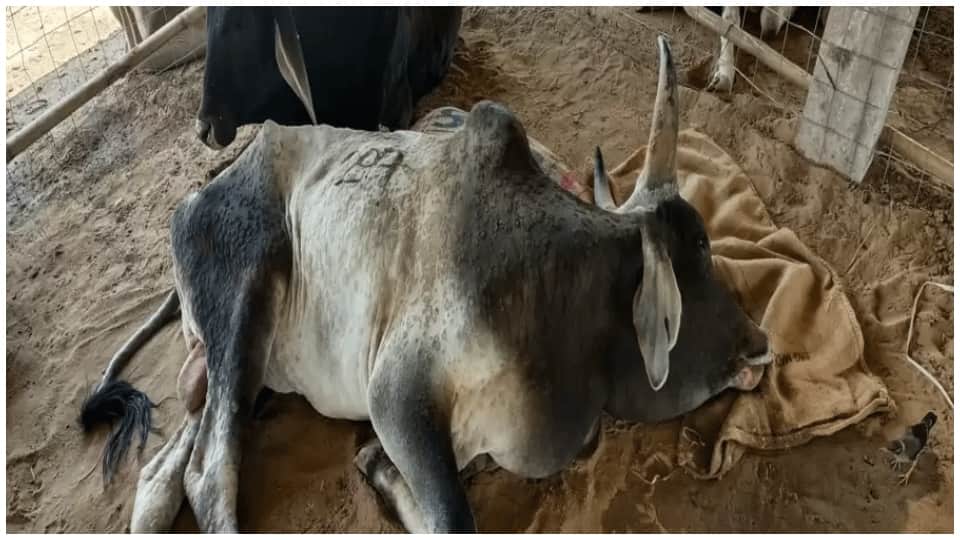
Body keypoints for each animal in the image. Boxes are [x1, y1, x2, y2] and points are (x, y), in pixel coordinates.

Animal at [80, 36, 771, 532]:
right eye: (696, 256)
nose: (760, 344)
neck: (563, 298)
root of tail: (202, 192)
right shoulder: (397, 394)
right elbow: (452, 517)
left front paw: (375, 468)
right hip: (245, 298)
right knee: (209, 475)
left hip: (233, 367)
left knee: (164, 473)